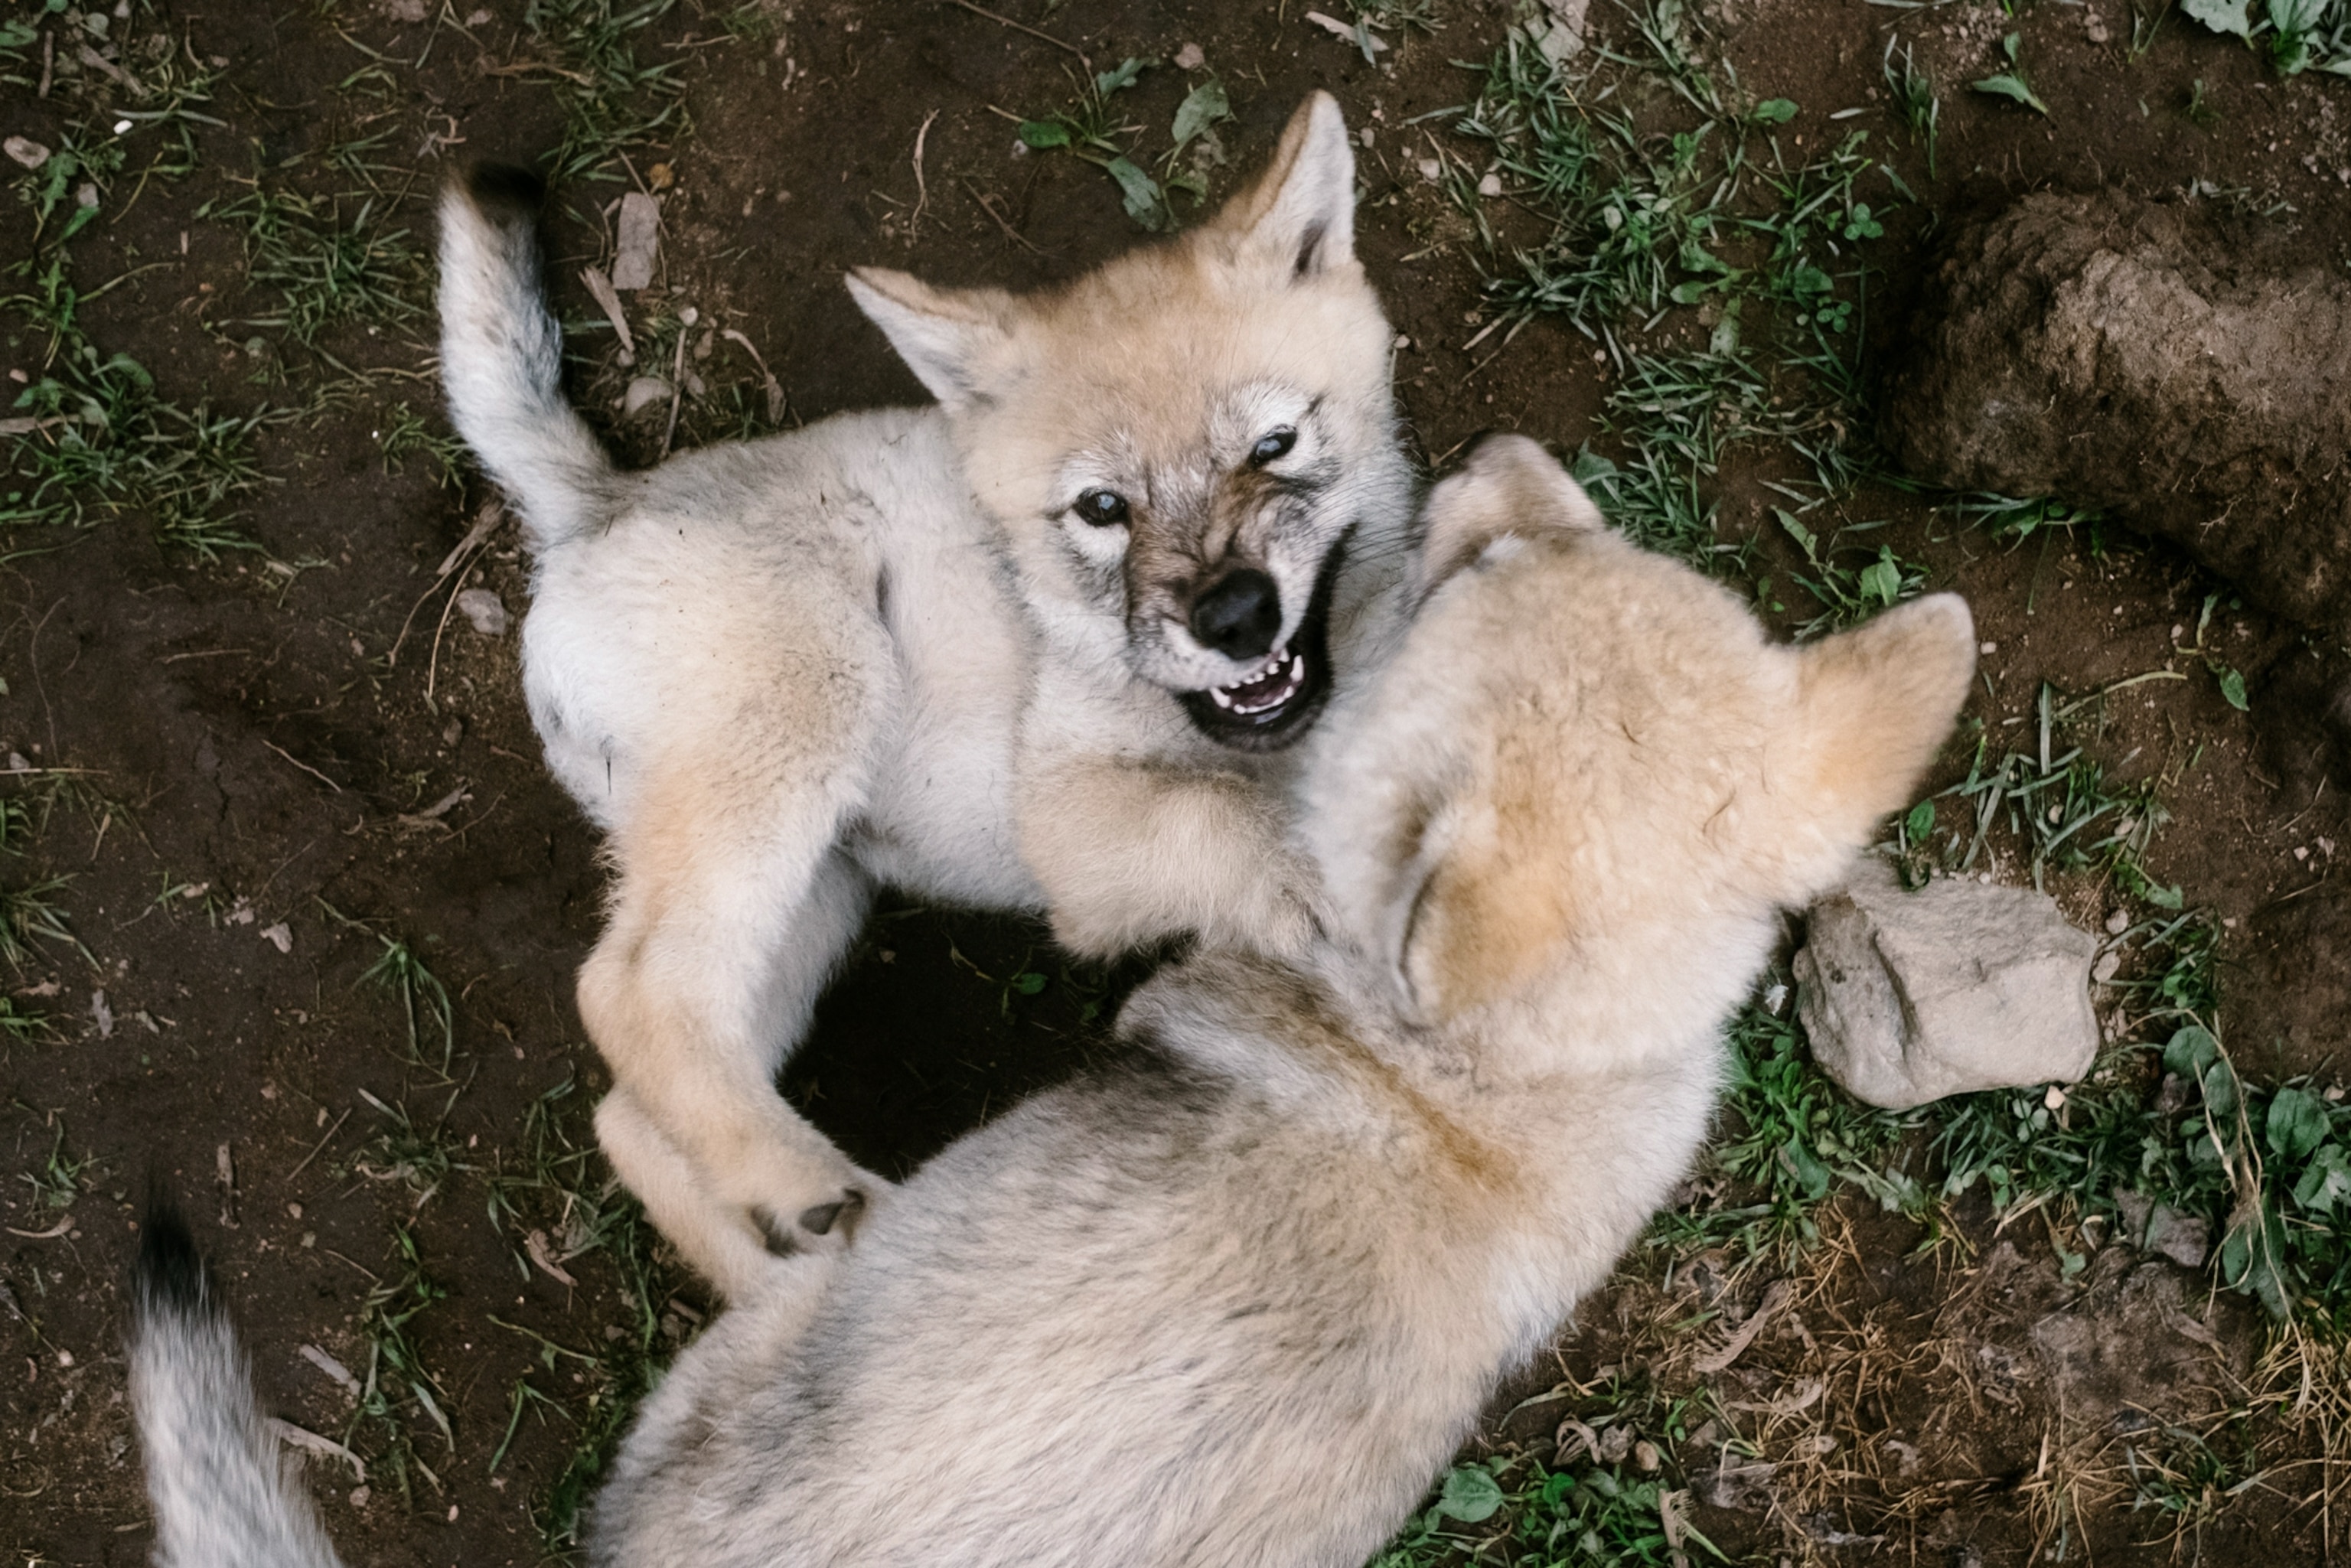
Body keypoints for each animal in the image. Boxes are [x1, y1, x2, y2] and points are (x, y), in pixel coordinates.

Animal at [131, 435, 1974, 1568]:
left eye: (1456, 583)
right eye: (1514, 546)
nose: (1488, 449)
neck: (1500, 1083)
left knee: (643, 1063)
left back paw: (798, 1184)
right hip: (793, 833)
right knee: (644, 1032)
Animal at [437, 93, 1417, 1297]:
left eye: (1274, 445)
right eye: (1101, 508)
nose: (1234, 618)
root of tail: (603, 503)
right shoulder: (1072, 823)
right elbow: (1227, 819)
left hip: (812, 892)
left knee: (635, 1103)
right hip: (808, 716)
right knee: (631, 992)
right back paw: (802, 1184)